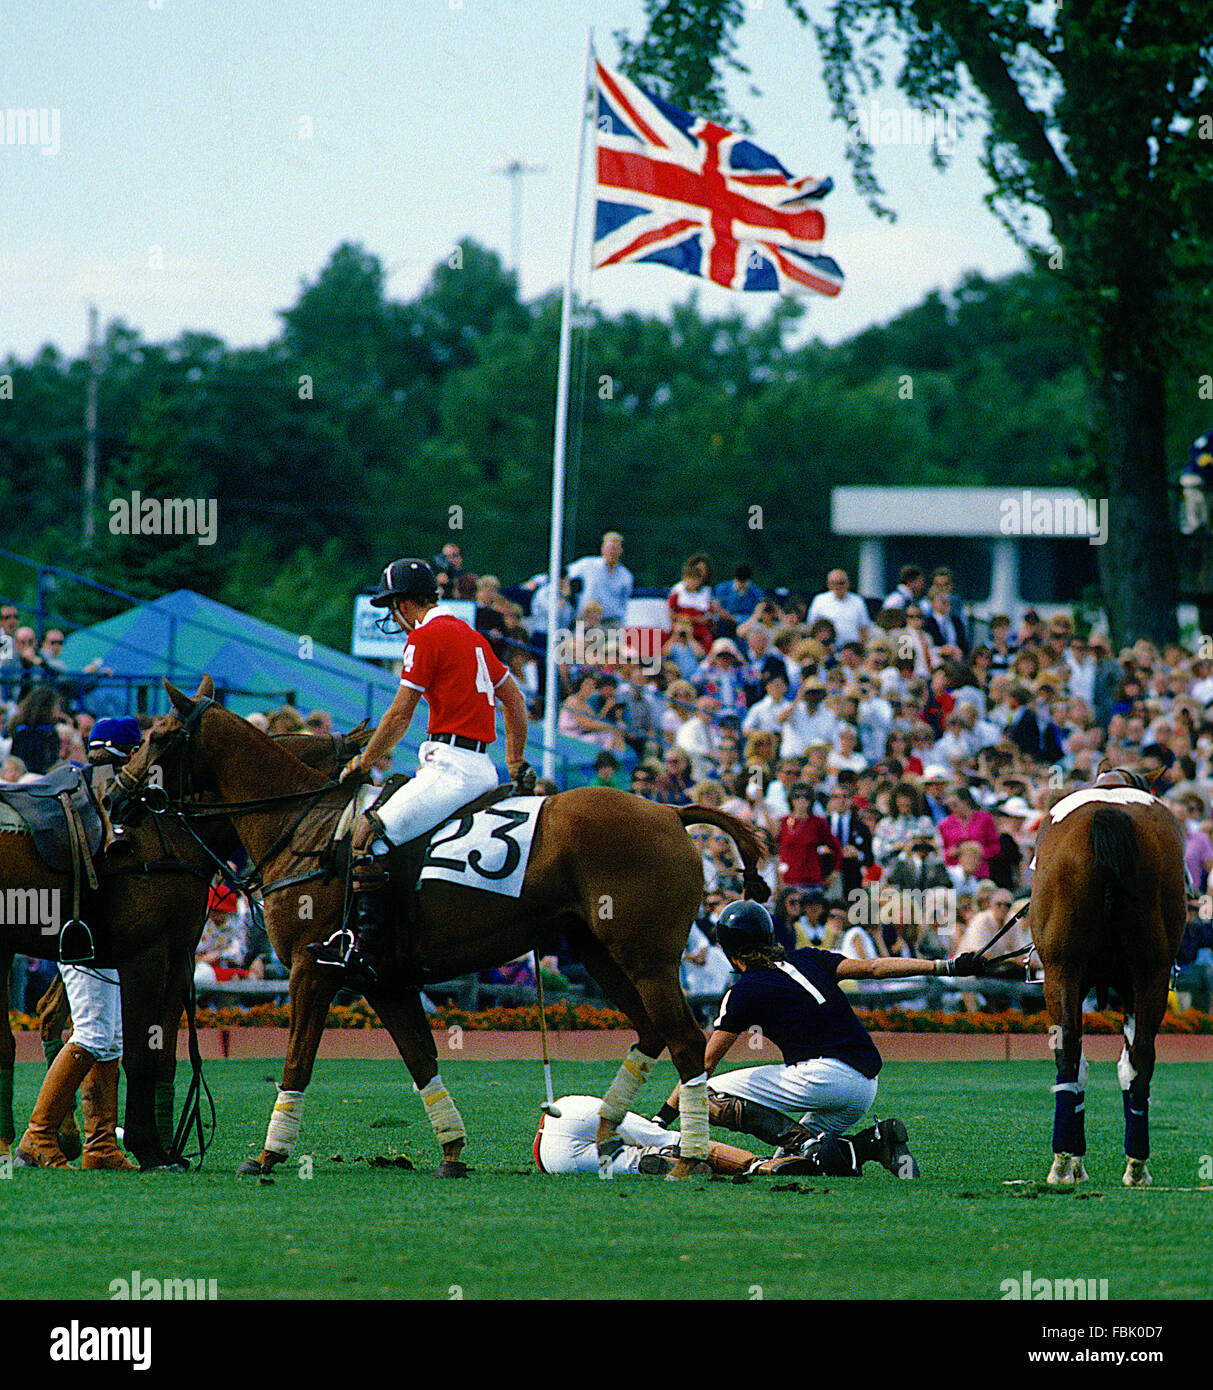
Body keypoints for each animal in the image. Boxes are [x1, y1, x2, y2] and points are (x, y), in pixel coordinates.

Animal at [0, 711, 369, 1167]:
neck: (175, 832)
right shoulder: (146, 955)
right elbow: (140, 1052)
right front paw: (148, 1145)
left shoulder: (173, 956)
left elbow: (162, 1053)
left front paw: (158, 1145)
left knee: (42, 1027)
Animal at [118, 678, 772, 1178]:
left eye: (158, 735)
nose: (121, 798)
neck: (303, 828)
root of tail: (672, 810)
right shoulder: (383, 981)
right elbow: (421, 1059)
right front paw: (453, 1152)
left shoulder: (314, 966)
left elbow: (298, 1061)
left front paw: (267, 1155)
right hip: (599, 952)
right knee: (650, 1033)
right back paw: (607, 1127)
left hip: (646, 958)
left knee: (686, 1040)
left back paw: (687, 1159)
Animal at [1028, 767, 1189, 1189]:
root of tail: (1110, 815)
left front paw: (1075, 1160)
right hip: (1147, 974)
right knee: (1139, 1059)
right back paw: (1135, 1164)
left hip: (1065, 972)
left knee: (1072, 1055)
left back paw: (1068, 1161)